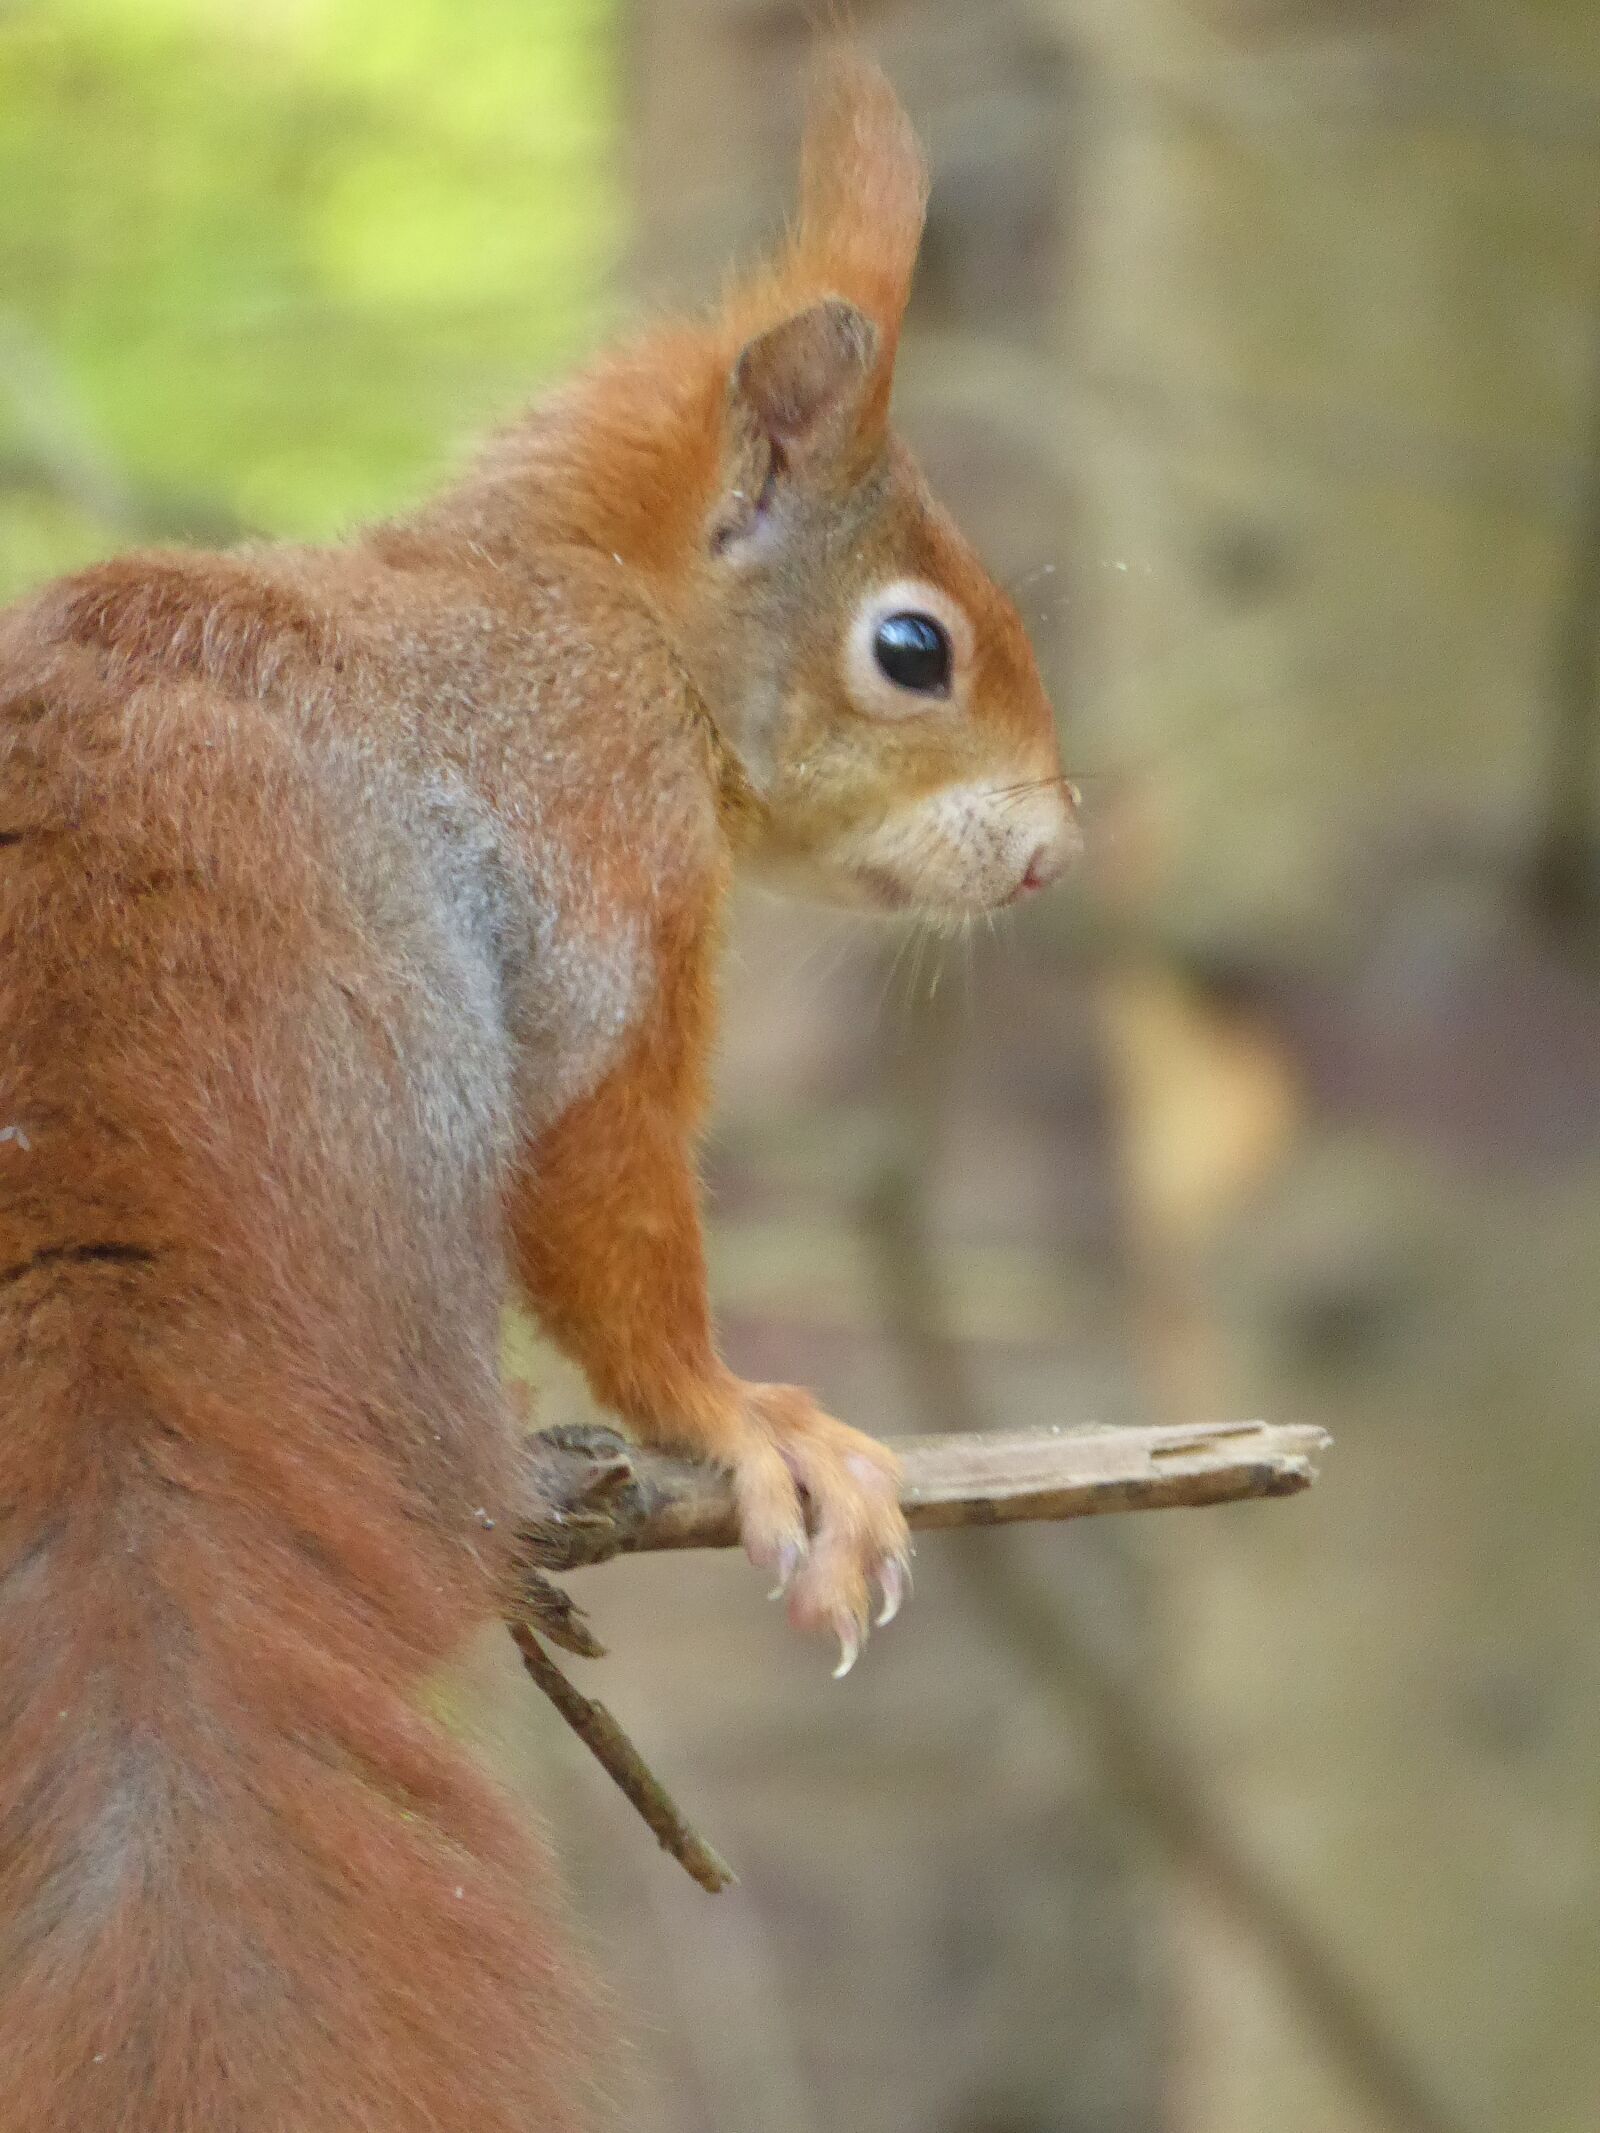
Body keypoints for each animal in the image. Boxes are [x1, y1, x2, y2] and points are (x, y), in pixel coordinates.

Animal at [3, 50, 1079, 2133]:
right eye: (914, 646)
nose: (1056, 856)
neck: (602, 600)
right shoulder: (611, 869)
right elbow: (613, 1198)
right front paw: (748, 1421)